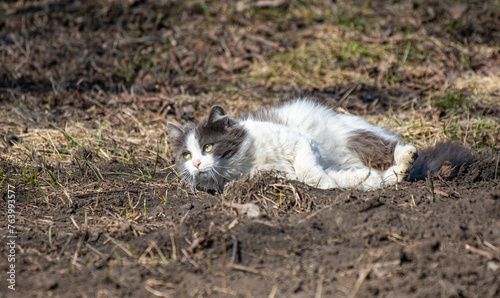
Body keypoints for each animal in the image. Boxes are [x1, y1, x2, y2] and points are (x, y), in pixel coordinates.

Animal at [167, 99, 472, 193]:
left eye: (208, 147)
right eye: (186, 154)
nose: (196, 163)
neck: (243, 163)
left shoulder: (299, 142)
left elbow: (309, 171)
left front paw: (325, 185)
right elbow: (323, 177)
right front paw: (335, 186)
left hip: (354, 137)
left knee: (390, 148)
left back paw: (407, 156)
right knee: (381, 175)